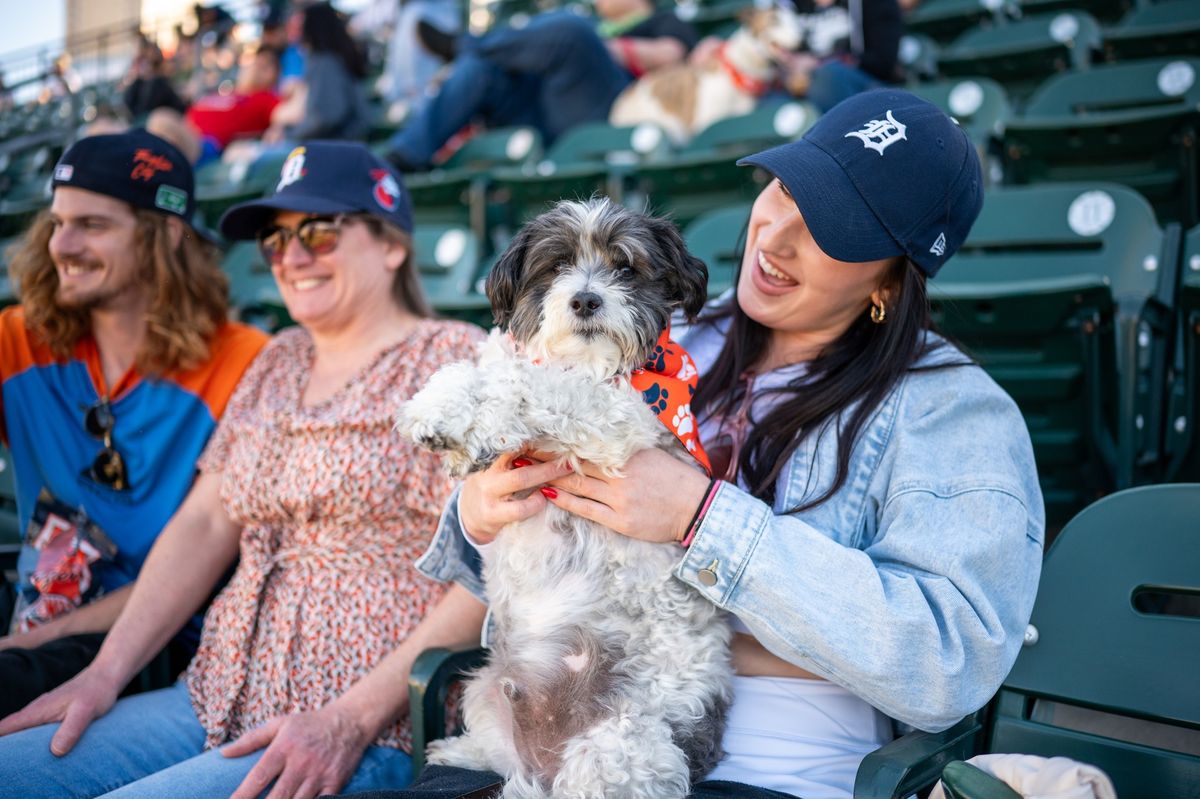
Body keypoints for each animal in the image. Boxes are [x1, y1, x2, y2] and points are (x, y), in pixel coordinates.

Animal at [400, 197, 729, 796]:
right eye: (555, 267)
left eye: (625, 266)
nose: (585, 298)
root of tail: (542, 766)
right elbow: (483, 368)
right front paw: (440, 410)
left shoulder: (620, 422)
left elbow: (539, 385)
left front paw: (486, 421)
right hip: (483, 688)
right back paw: (462, 751)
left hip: (619, 745)